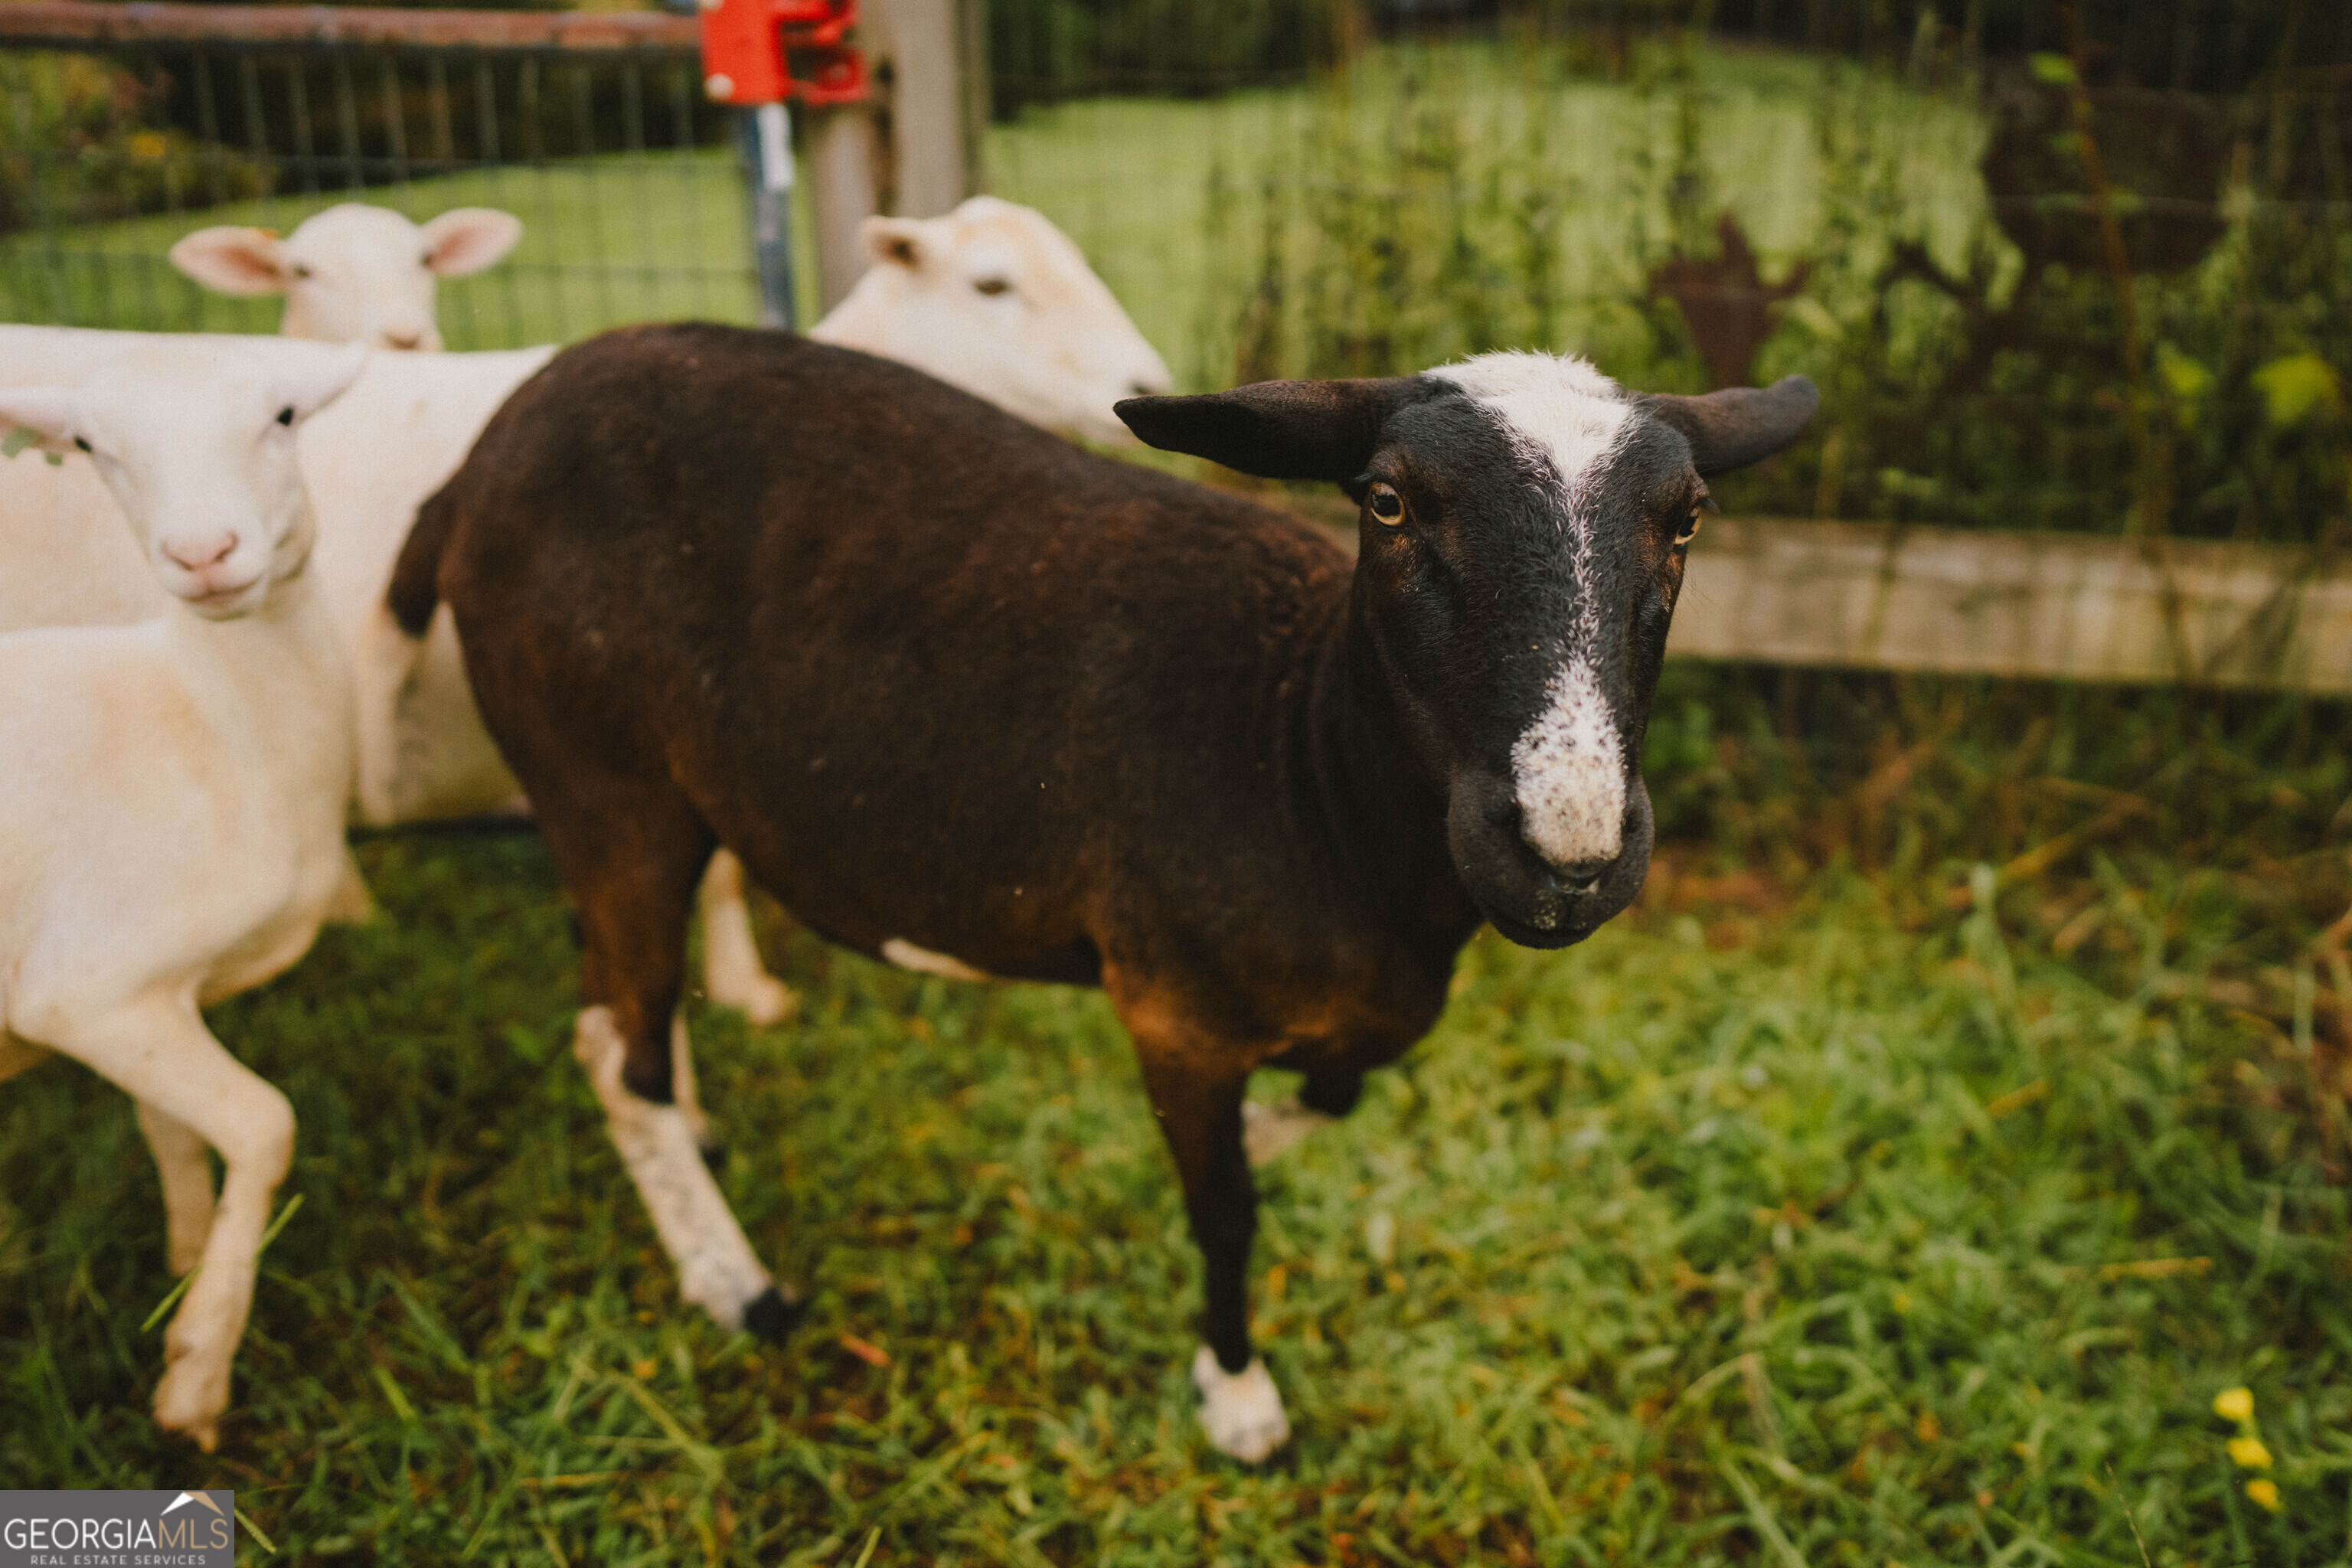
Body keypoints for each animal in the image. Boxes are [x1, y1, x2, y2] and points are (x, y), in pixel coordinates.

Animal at [0, 338, 369, 1451]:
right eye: (90, 445)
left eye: (284, 416)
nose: (203, 551)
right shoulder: (83, 985)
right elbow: (264, 1123)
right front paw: (200, 1364)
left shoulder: (156, 995)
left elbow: (169, 1126)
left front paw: (188, 1256)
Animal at [391, 324, 1818, 1462]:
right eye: (1386, 502)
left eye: (1687, 519)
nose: (1567, 851)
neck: (1303, 764)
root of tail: (481, 451)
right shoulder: (1174, 1005)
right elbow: (1227, 1213)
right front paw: (1236, 1391)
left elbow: (1326, 1099)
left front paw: (1251, 1153)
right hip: (602, 774)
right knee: (612, 1048)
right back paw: (734, 1281)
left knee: (623, 1008)